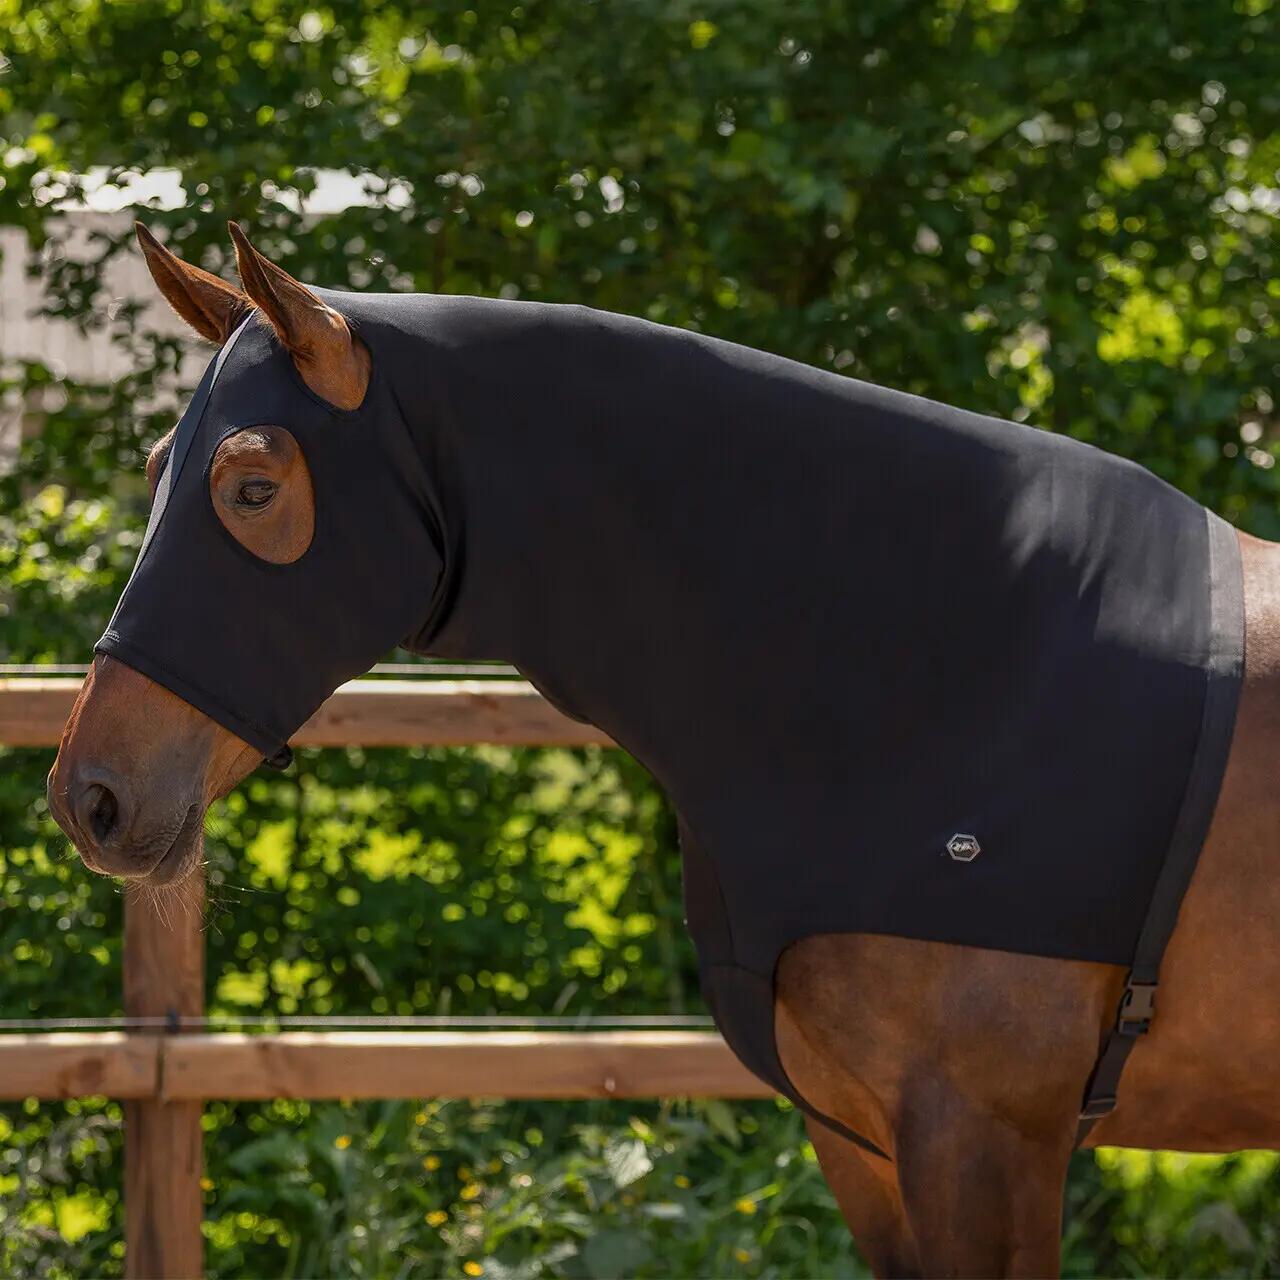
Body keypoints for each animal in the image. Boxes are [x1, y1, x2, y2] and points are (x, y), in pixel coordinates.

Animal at [46, 223, 1280, 1278]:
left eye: (252, 486)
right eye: (155, 469)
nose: (88, 797)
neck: (943, 666)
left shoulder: (983, 1143)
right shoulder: (865, 1143)